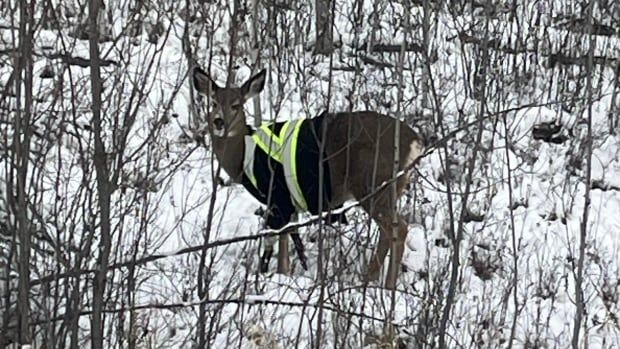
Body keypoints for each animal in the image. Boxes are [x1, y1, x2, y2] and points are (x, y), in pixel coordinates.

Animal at [194, 66, 426, 288]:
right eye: (213, 102)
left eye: (236, 105)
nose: (219, 122)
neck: (242, 156)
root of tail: (415, 143)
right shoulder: (289, 202)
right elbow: (290, 237)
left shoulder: (277, 195)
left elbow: (281, 239)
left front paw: (280, 275)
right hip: (388, 188)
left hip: (373, 183)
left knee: (397, 228)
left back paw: (379, 284)